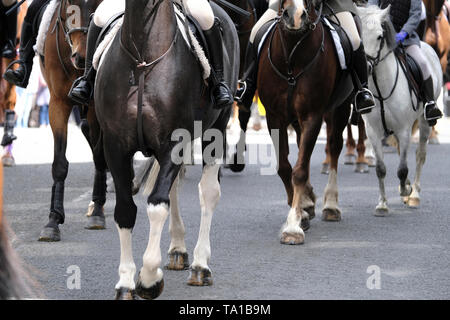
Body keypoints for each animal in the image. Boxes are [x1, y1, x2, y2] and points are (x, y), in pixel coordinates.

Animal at [37, 0, 104, 241]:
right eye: (68, 3)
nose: (82, 57)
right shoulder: (57, 103)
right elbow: (59, 163)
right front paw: (53, 220)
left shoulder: (94, 106)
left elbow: (99, 157)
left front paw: (98, 212)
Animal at [94, 0, 239, 300]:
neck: (143, 56)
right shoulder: (115, 146)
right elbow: (125, 210)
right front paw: (125, 282)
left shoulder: (175, 142)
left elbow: (157, 205)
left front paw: (149, 279)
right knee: (173, 189)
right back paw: (178, 250)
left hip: (217, 128)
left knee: (208, 193)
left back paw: (200, 266)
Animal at [258, 0, 354, 245]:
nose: (295, 16)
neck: (292, 57)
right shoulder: (274, 116)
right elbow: (285, 167)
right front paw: (301, 211)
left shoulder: (313, 115)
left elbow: (299, 170)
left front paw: (293, 226)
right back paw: (308, 202)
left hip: (341, 107)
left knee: (334, 147)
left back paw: (331, 205)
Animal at [358, 5, 442, 216]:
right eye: (360, 36)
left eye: (380, 36)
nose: (366, 67)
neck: (381, 88)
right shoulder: (373, 132)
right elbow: (381, 168)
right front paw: (382, 204)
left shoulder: (403, 130)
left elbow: (402, 169)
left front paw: (406, 190)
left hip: (424, 122)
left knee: (420, 155)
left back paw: (414, 195)